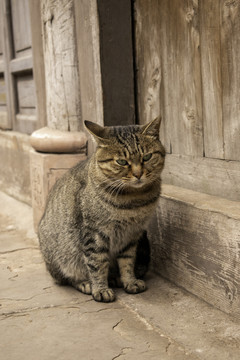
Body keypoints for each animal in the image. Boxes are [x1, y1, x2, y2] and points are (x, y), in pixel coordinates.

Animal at [38, 117, 165, 300]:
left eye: (147, 157)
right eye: (121, 161)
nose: (138, 174)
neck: (134, 200)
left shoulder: (132, 234)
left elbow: (127, 261)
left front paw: (130, 281)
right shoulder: (94, 233)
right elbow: (97, 263)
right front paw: (100, 289)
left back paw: (114, 278)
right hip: (62, 257)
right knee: (67, 277)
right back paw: (85, 283)